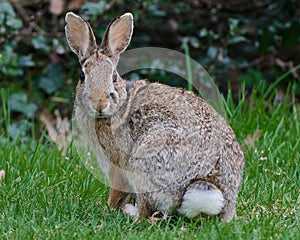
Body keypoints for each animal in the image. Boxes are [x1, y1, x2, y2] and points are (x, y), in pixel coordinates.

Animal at [65, 11, 244, 221]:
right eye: (82, 76)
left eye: (114, 76)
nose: (99, 104)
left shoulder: (118, 163)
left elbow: (117, 191)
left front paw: (109, 208)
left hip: (146, 159)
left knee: (147, 213)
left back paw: (132, 214)